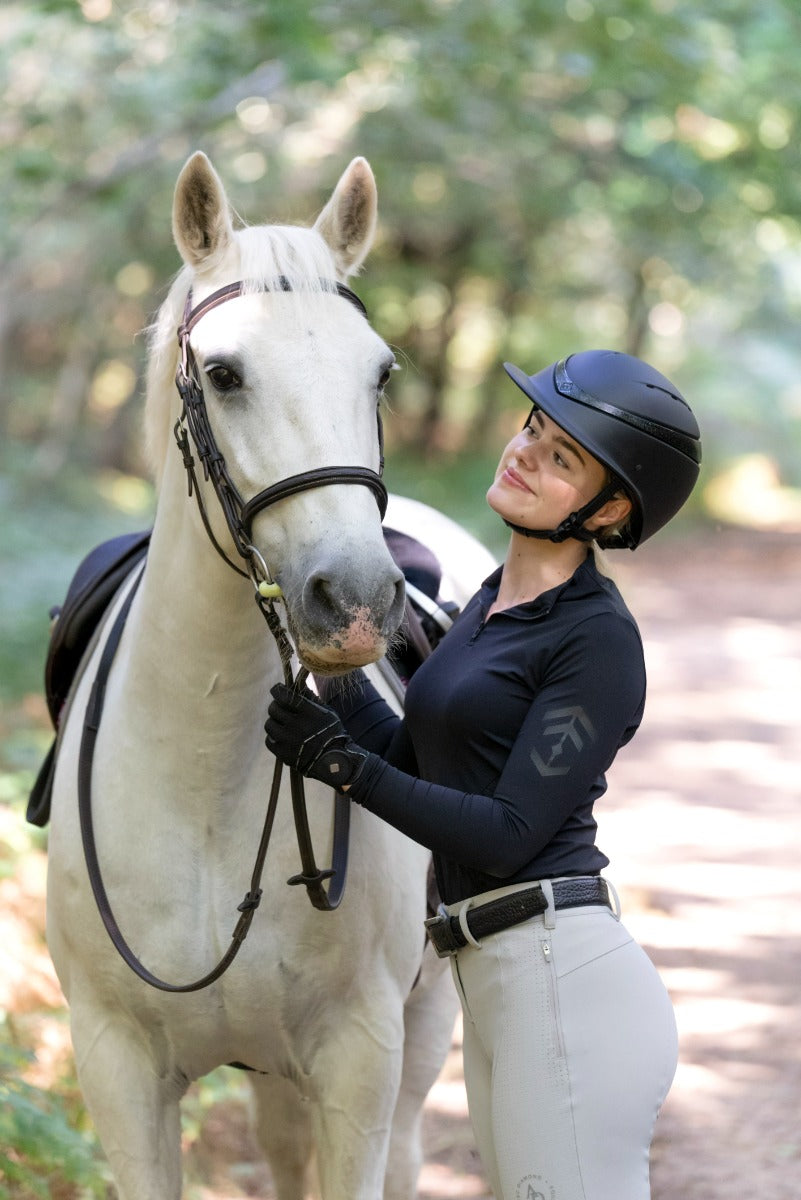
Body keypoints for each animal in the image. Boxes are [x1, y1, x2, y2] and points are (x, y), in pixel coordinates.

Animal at [45, 152, 494, 1200]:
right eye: (224, 374)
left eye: (380, 371)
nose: (359, 600)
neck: (203, 775)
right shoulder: (116, 1064)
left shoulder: (360, 1059)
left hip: (419, 1032)